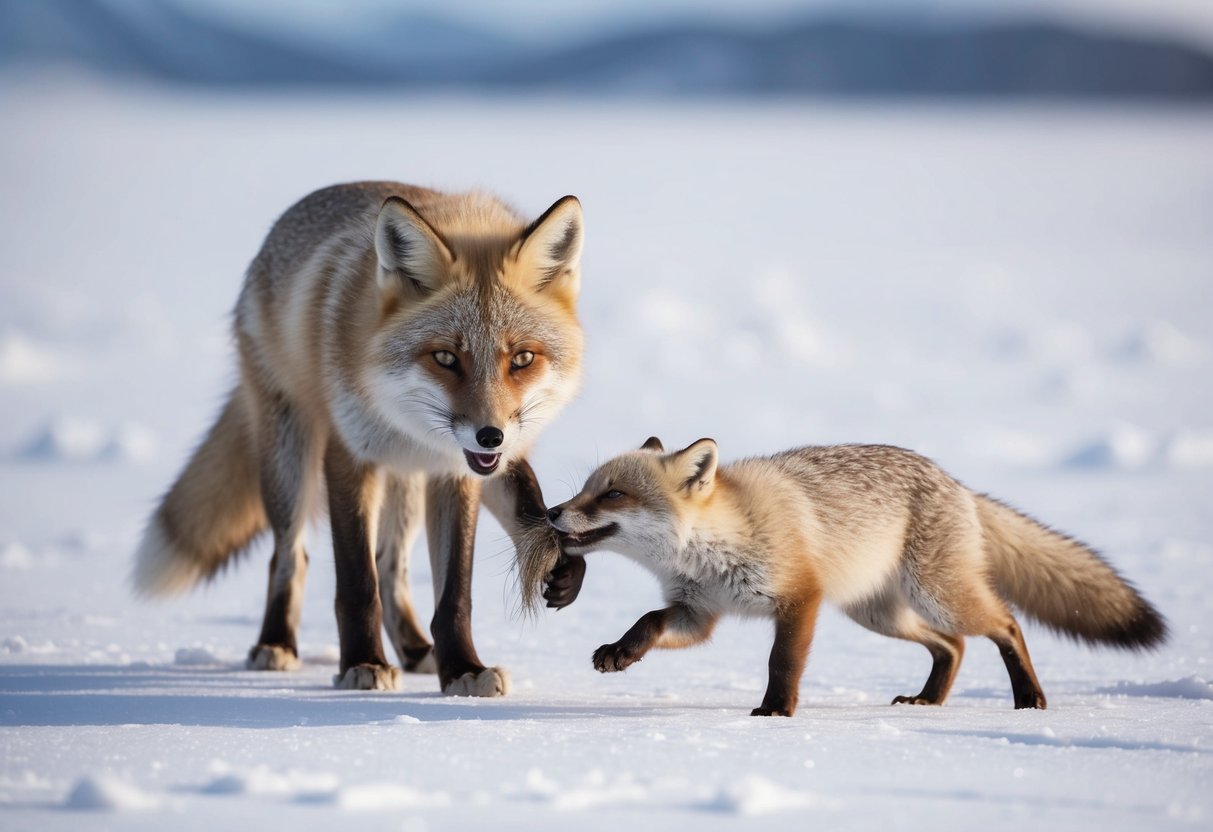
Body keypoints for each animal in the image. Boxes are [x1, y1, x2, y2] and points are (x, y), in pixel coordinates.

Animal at [133, 181, 578, 696]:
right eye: (445, 358)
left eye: (522, 358)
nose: (490, 436)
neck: (407, 420)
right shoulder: (349, 455)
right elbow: (356, 584)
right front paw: (362, 663)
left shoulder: (455, 472)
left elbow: (457, 591)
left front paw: (463, 668)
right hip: (290, 457)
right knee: (290, 556)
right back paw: (276, 644)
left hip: (407, 481)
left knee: (392, 567)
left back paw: (416, 650)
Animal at [534, 437, 1168, 716]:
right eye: (585, 490)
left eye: (612, 494)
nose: (552, 513)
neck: (712, 549)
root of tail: (957, 482)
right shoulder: (698, 611)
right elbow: (647, 619)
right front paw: (620, 653)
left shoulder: (800, 598)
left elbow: (782, 662)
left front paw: (775, 713)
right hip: (881, 614)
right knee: (954, 646)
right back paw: (928, 700)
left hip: (938, 596)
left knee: (1006, 624)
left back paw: (1029, 697)